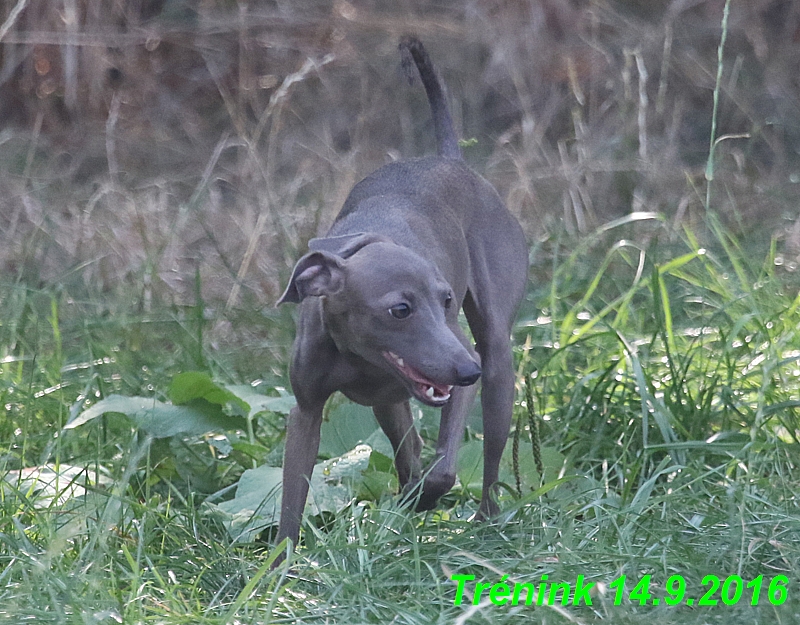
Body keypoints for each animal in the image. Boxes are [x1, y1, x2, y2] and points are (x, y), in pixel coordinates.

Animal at [278, 37, 528, 544]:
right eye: (399, 310)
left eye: (446, 300)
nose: (467, 369)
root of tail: (450, 160)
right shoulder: (306, 411)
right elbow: (292, 504)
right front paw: (278, 562)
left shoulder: (456, 378)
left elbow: (444, 470)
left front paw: (427, 497)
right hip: (389, 404)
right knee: (408, 448)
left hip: (495, 365)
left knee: (486, 459)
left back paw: (484, 518)